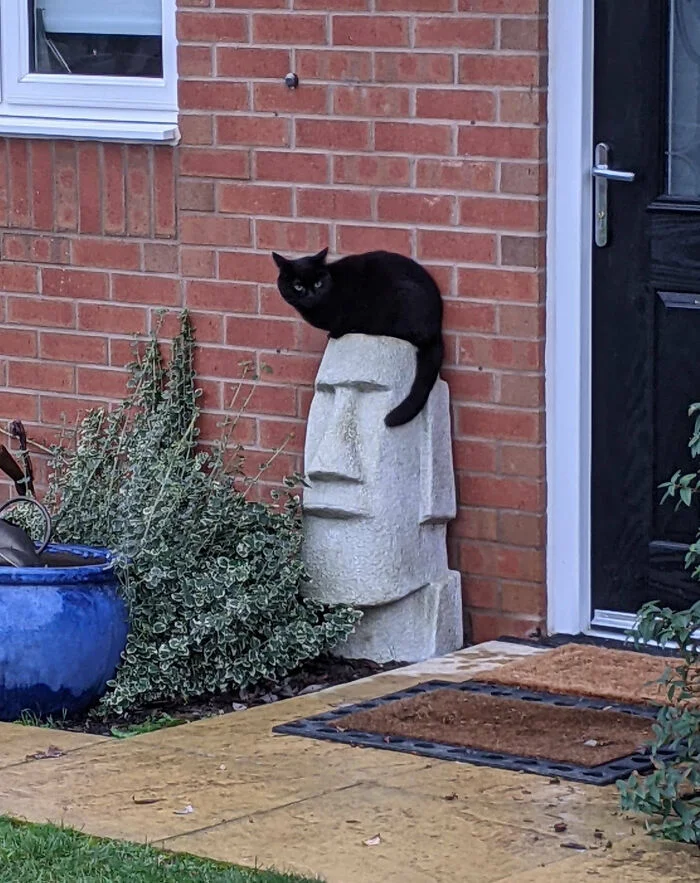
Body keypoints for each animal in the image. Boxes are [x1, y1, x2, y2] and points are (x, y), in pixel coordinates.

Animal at [272, 247, 444, 427]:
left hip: (403, 297)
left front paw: (334, 333)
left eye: (318, 283)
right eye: (297, 286)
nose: (311, 294)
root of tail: (437, 327)